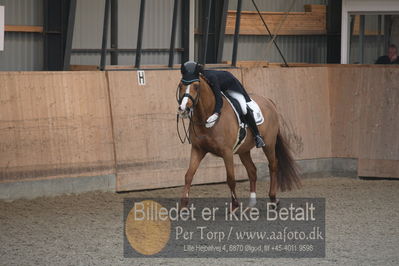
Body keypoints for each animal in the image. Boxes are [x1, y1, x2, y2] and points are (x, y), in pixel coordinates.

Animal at [177, 74, 302, 209]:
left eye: (196, 86)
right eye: (180, 85)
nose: (183, 109)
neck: (208, 114)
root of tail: (268, 101)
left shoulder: (227, 153)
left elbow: (231, 179)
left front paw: (235, 206)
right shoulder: (198, 149)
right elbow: (188, 175)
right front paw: (183, 206)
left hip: (269, 144)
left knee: (273, 165)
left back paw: (273, 199)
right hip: (244, 150)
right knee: (252, 171)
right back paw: (251, 204)